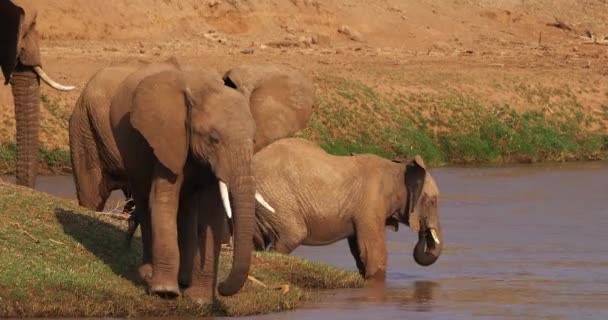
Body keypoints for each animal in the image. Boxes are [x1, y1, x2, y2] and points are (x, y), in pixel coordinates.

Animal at [249, 138, 444, 280]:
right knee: (292, 235)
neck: (397, 168)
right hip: (275, 195)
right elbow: (372, 252)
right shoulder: (371, 203)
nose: (423, 234)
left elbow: (358, 251)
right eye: (432, 201)